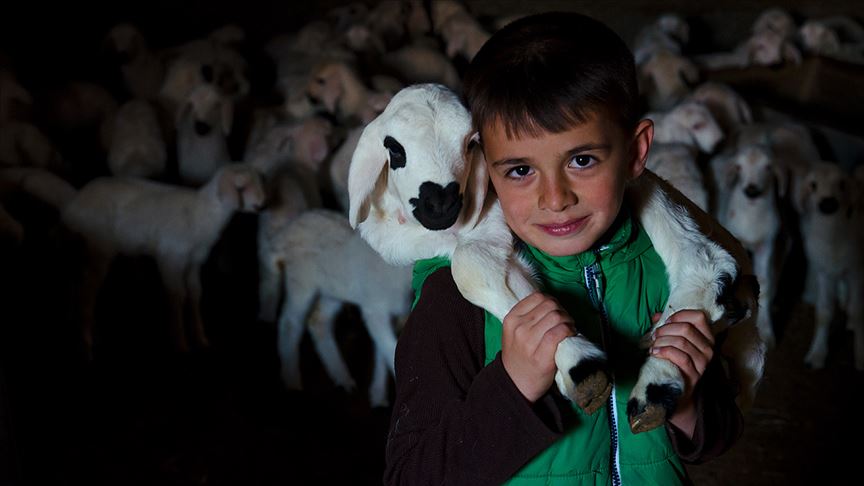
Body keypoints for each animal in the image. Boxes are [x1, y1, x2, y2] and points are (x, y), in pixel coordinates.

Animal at [276, 209, 414, 406]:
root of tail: (288, 228)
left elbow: (384, 349)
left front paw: (378, 398)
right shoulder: (375, 308)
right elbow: (389, 348)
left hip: (333, 291)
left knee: (318, 321)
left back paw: (343, 380)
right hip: (301, 281)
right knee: (289, 322)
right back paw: (292, 381)